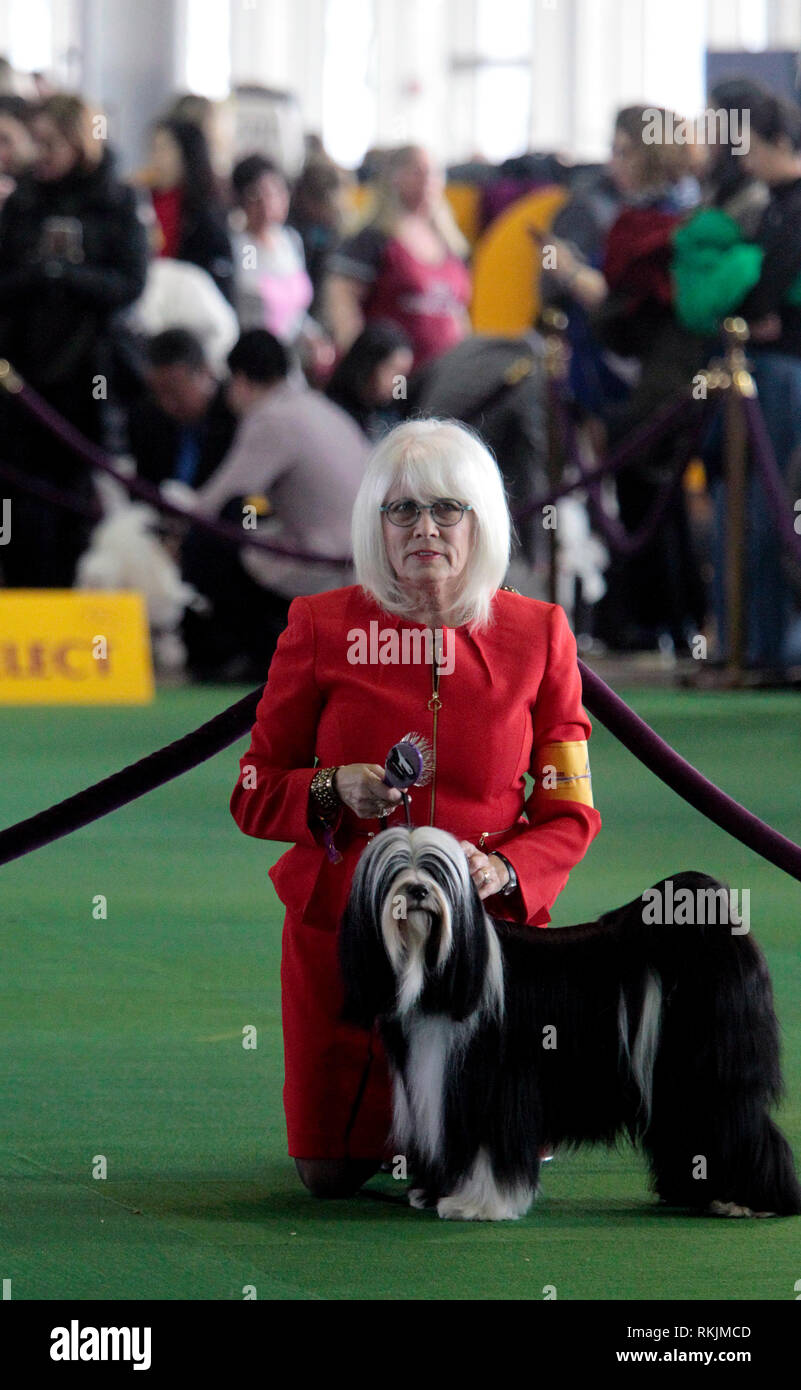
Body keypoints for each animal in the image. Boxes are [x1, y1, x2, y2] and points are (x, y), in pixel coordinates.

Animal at [339, 828, 801, 1223]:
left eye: (436, 871)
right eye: (395, 870)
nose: (416, 890)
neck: (444, 968)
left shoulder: (497, 1086)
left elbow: (488, 1148)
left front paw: (480, 1205)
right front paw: (434, 1193)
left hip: (715, 1074)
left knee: (743, 1124)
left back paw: (746, 1200)